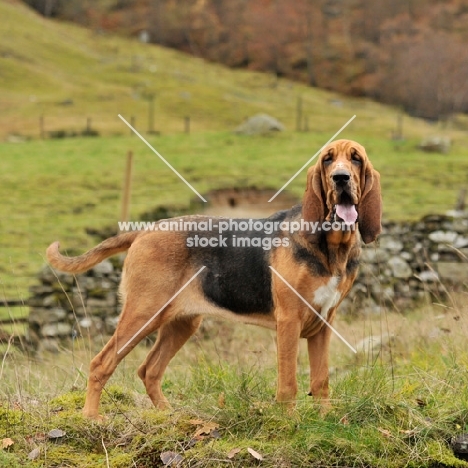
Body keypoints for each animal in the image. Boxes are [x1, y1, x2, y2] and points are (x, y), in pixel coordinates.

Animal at [47, 137, 382, 418]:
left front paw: (326, 419)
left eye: (356, 159)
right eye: (328, 160)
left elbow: (321, 380)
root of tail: (145, 231)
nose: (341, 178)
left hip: (182, 322)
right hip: (143, 314)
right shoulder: (289, 321)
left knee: (149, 370)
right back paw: (92, 417)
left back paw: (170, 415)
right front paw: (290, 423)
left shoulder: (324, 323)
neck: (332, 248)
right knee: (101, 363)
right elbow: (288, 383)